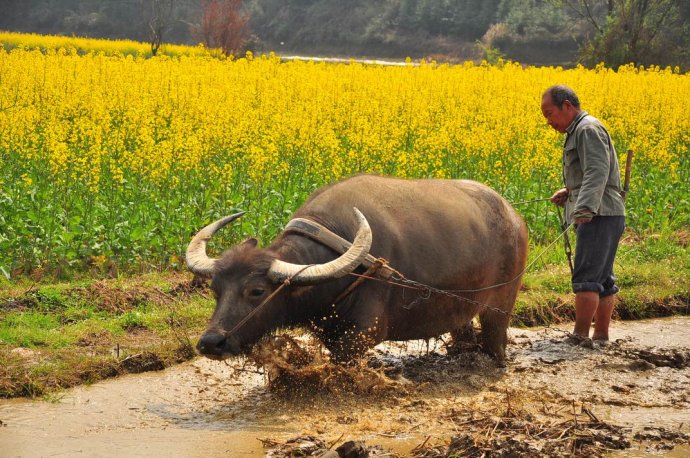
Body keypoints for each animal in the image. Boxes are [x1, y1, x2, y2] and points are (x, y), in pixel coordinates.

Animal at [187, 174, 528, 364]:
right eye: (215, 290)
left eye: (257, 291)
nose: (211, 343)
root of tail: (514, 217)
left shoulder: (363, 334)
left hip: (502, 301)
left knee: (496, 336)